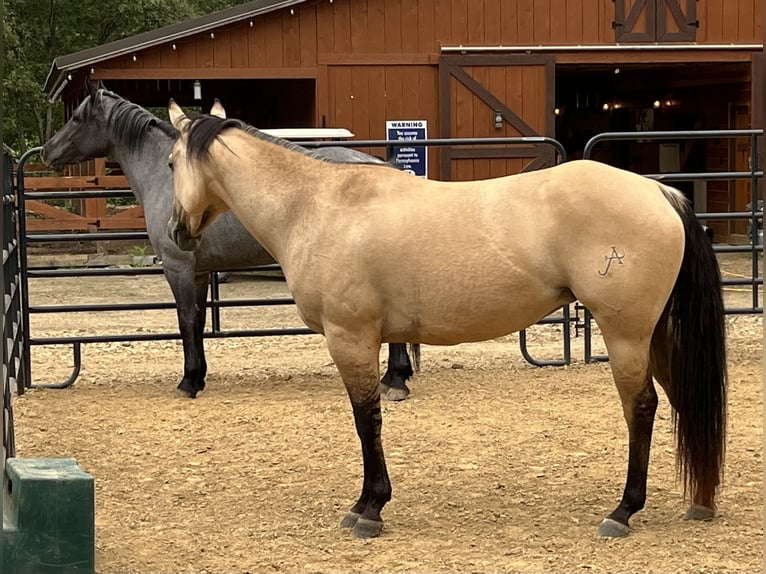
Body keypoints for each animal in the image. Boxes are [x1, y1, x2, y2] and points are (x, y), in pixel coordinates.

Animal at [40, 83, 417, 400]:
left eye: (76, 118)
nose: (46, 151)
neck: (166, 177)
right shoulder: (198, 272)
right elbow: (199, 321)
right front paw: (199, 377)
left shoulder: (177, 268)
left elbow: (185, 321)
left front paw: (188, 382)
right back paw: (395, 377)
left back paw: (395, 381)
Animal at [166, 102, 727, 540]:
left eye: (170, 161)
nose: (176, 232)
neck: (318, 207)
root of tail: (660, 193)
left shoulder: (351, 338)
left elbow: (366, 420)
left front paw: (369, 508)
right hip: (655, 334)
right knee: (682, 398)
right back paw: (699, 502)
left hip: (627, 333)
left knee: (643, 407)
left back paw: (623, 511)